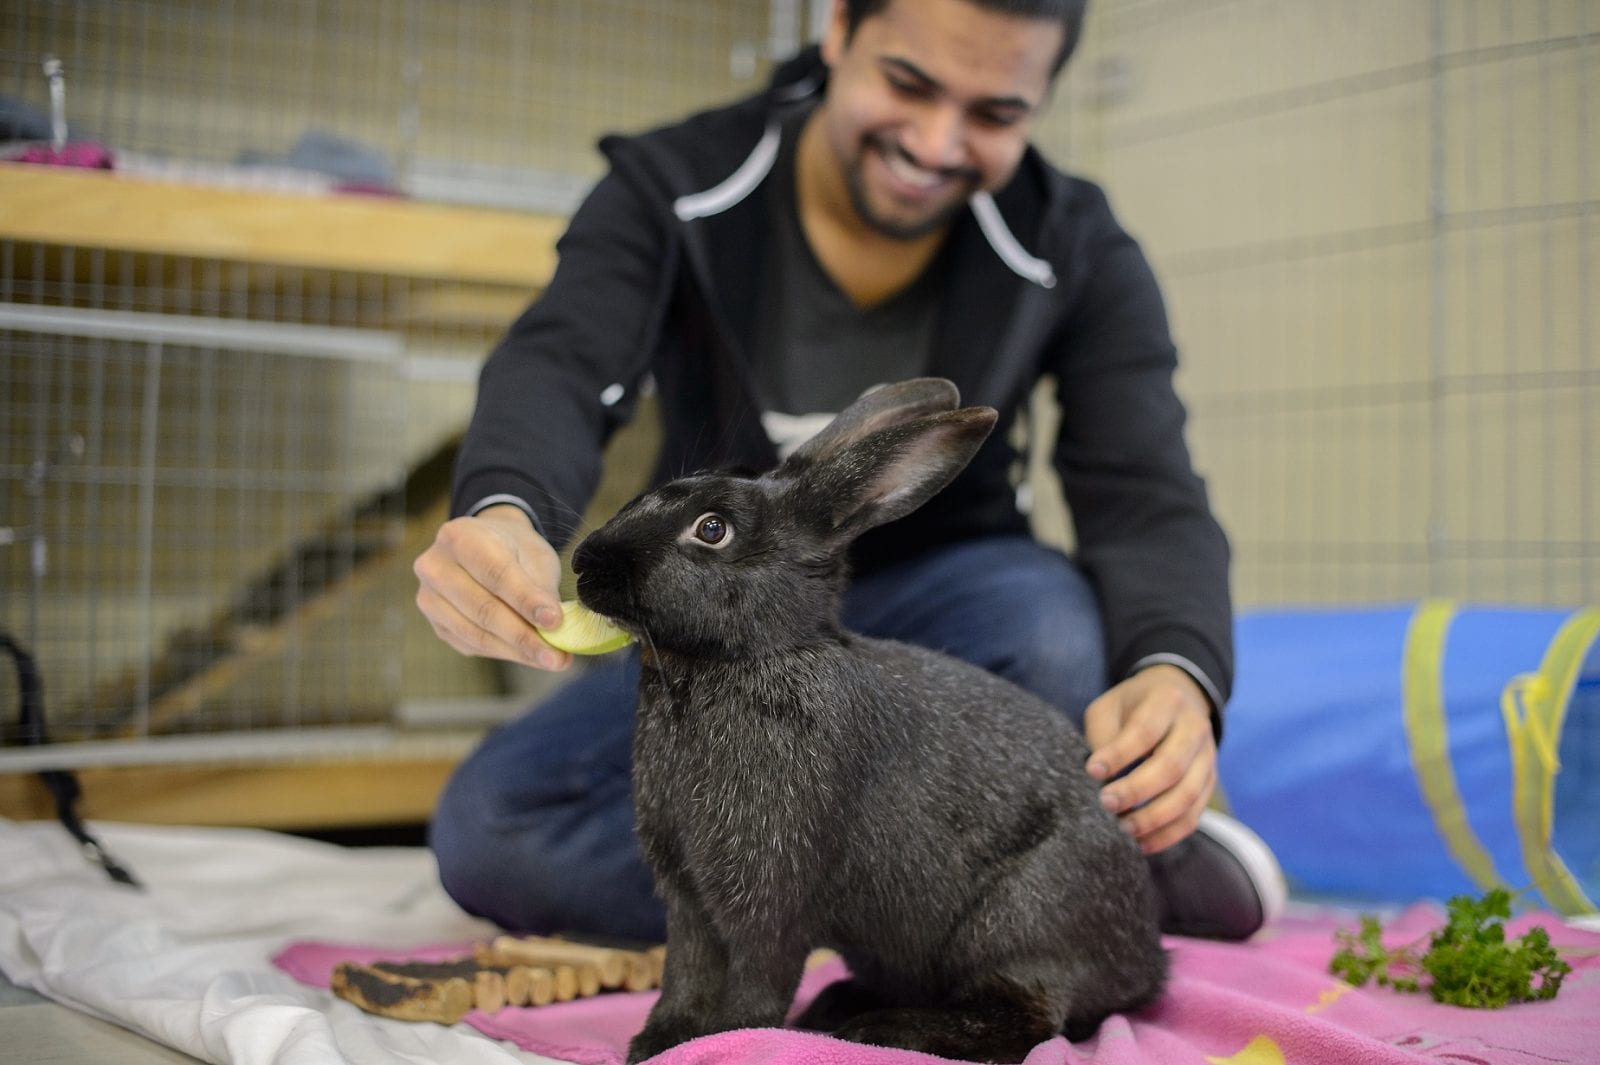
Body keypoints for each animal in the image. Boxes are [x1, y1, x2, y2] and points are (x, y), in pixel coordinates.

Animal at [572, 377, 1164, 1055]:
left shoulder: (768, 890)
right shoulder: (686, 898)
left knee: (1030, 1020)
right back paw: (839, 1005)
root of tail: (1147, 970)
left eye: (712, 529)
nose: (585, 563)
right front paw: (659, 1042)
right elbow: (685, 972)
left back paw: (878, 1028)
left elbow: (756, 976)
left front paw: (732, 1036)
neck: (738, 660)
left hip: (1021, 918)